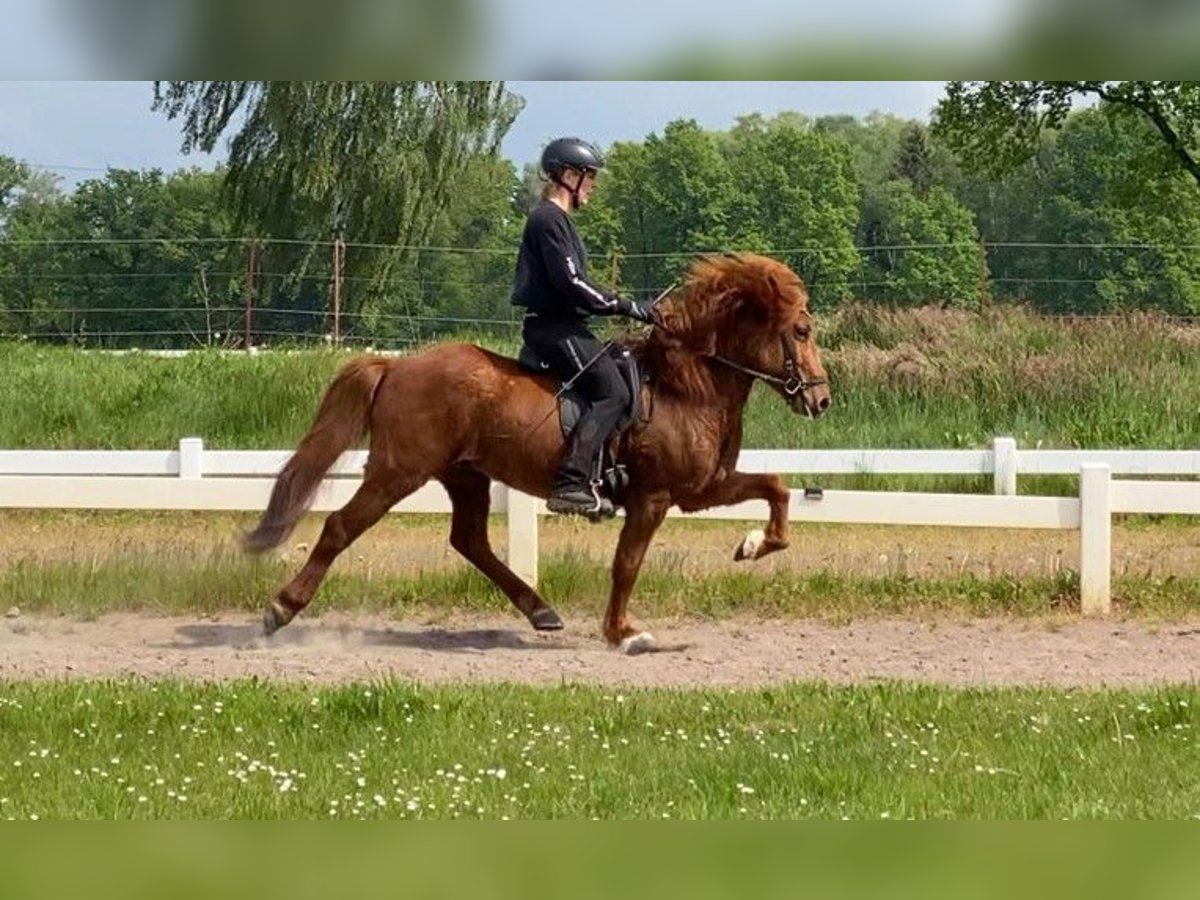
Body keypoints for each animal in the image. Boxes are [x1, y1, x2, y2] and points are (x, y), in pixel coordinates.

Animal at [241, 254, 825, 657]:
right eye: (801, 330)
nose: (821, 400)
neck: (688, 384)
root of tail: (398, 365)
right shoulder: (654, 498)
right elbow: (627, 564)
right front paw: (624, 634)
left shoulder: (702, 488)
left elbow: (776, 488)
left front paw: (752, 546)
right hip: (398, 473)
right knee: (341, 526)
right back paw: (280, 609)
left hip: (465, 476)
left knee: (470, 541)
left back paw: (541, 611)